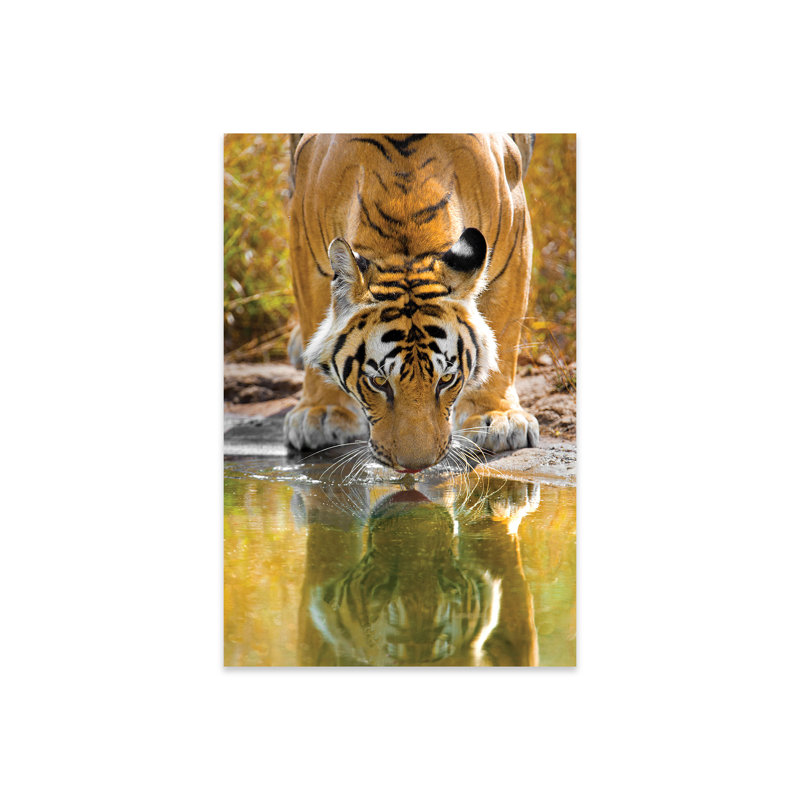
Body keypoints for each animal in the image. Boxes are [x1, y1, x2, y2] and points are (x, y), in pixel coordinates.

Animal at [284, 134, 539, 472]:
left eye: (447, 379)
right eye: (379, 382)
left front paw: (498, 417)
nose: (415, 467)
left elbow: (504, 330)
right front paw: (321, 412)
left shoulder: (515, 234)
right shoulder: (306, 243)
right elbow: (314, 314)